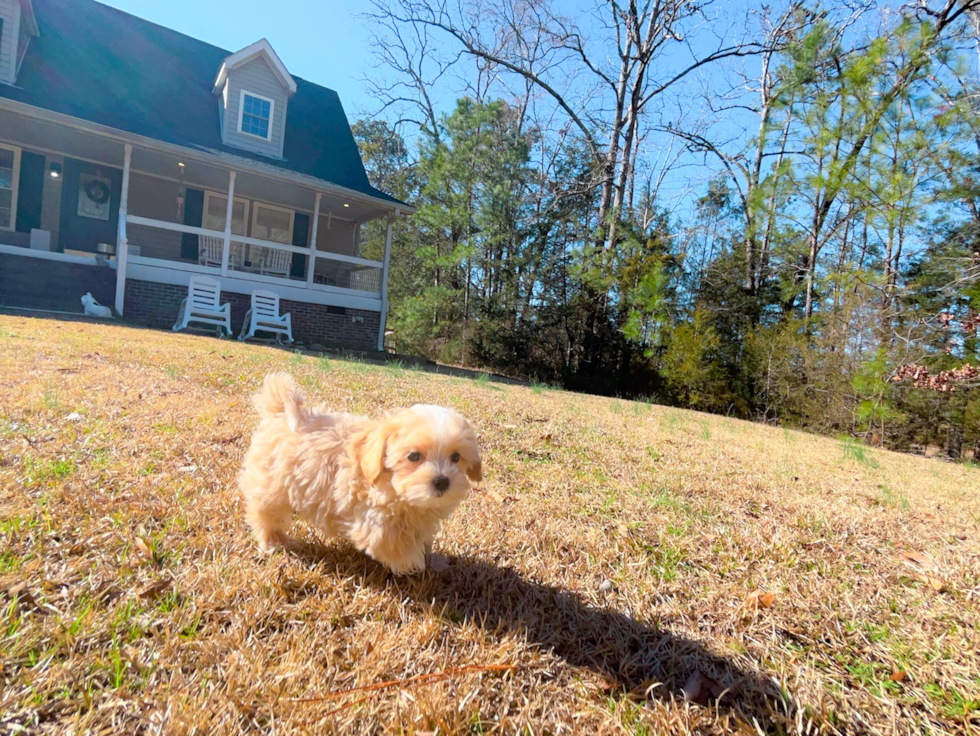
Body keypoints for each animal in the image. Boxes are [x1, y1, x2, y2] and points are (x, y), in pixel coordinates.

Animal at [238, 374, 482, 576]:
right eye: (414, 456)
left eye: (456, 457)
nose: (442, 481)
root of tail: (279, 412)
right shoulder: (373, 520)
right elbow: (394, 544)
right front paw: (415, 563)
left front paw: (434, 560)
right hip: (271, 488)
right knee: (265, 515)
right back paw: (274, 542)